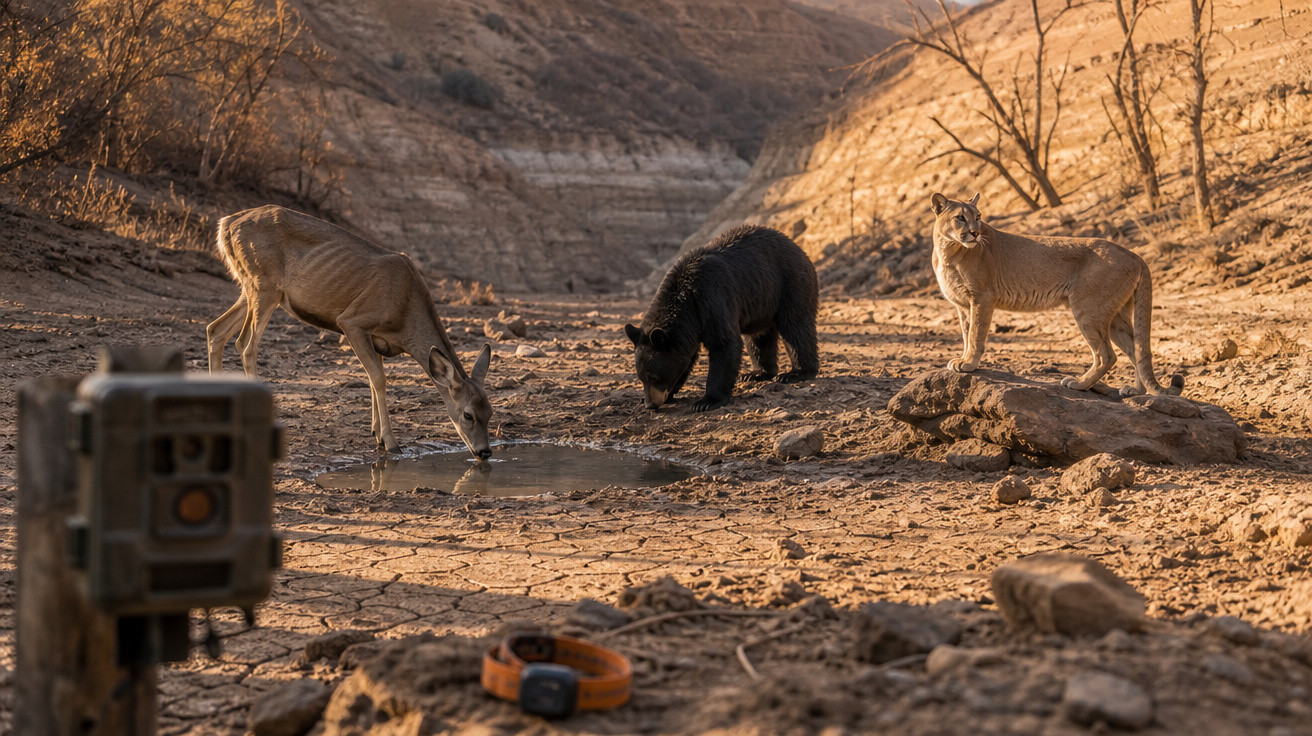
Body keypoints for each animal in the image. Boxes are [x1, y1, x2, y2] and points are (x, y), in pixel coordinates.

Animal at [625, 224, 819, 412]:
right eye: (641, 378)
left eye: (654, 377)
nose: (650, 405)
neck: (686, 299)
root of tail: (799, 249)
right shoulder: (690, 326)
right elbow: (686, 358)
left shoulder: (711, 298)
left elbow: (724, 343)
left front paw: (706, 401)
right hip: (762, 302)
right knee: (759, 337)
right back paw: (757, 373)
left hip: (789, 283)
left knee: (795, 326)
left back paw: (797, 373)